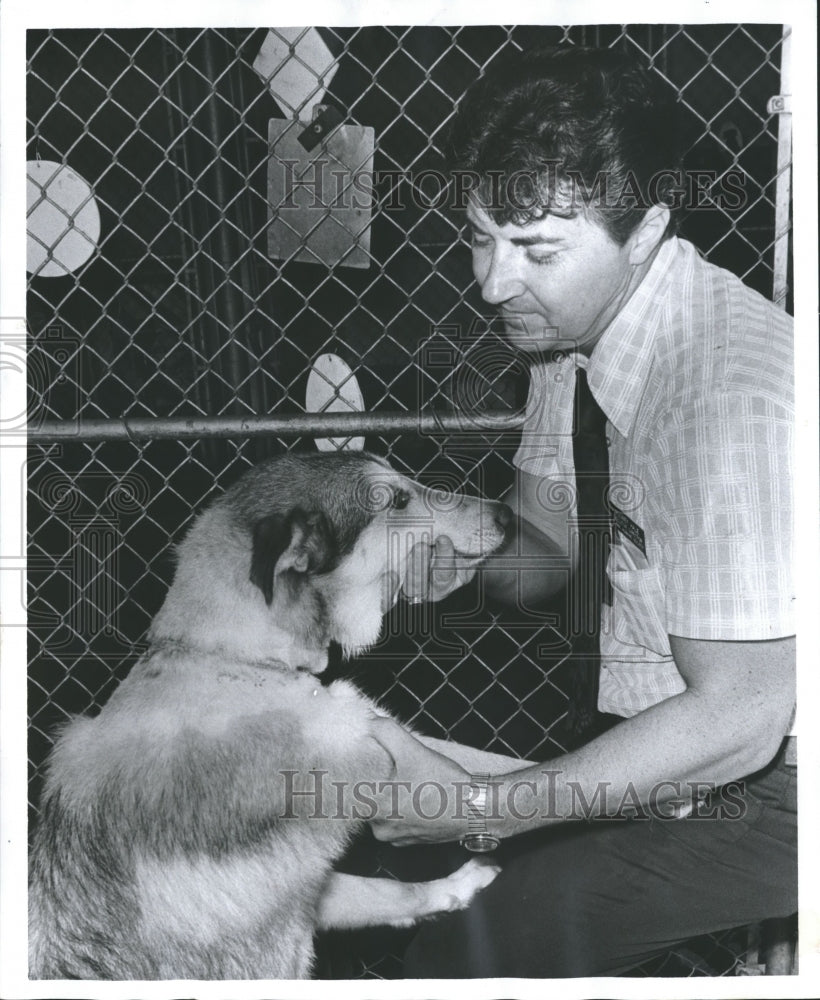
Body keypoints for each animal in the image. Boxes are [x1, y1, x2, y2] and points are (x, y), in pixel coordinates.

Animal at [28, 450, 512, 980]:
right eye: (399, 500)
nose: (507, 515)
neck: (237, 660)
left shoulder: (310, 889)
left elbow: (396, 884)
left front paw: (458, 887)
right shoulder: (363, 753)